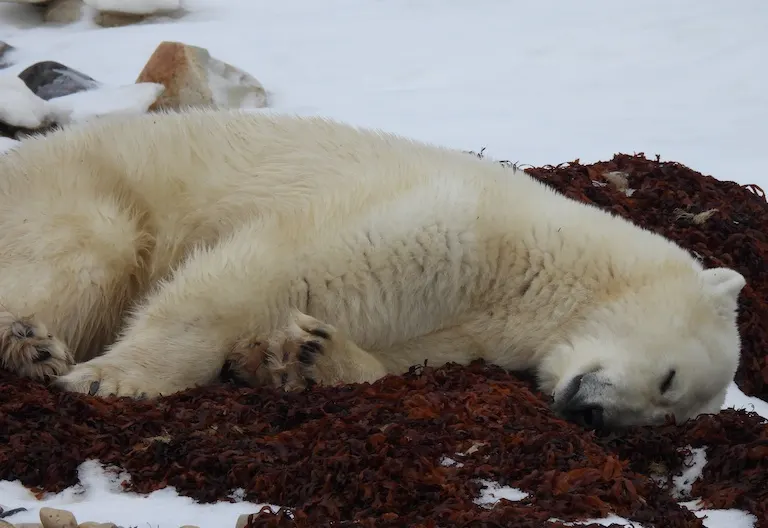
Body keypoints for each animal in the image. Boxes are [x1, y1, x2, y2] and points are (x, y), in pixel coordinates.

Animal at [0, 108, 746, 430]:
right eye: (669, 382)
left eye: (661, 420)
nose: (593, 413)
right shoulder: (451, 228)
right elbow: (268, 267)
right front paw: (112, 378)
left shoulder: (469, 334)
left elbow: (394, 358)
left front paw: (299, 354)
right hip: (77, 193)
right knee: (92, 251)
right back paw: (32, 344)